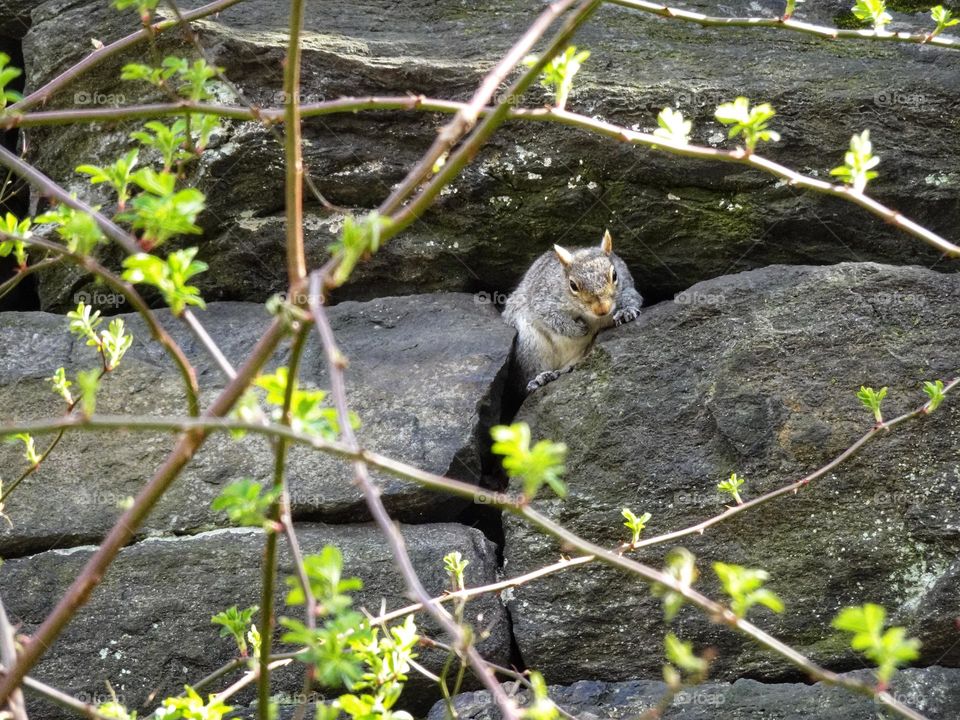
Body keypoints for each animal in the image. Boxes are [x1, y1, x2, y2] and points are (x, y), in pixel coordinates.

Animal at [502, 229, 644, 394]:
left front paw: (626, 312)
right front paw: (577, 329)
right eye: (573, 285)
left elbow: (632, 297)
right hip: (531, 346)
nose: (603, 309)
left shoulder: (627, 284)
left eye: (614, 275)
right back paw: (542, 378)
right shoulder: (543, 299)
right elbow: (551, 317)